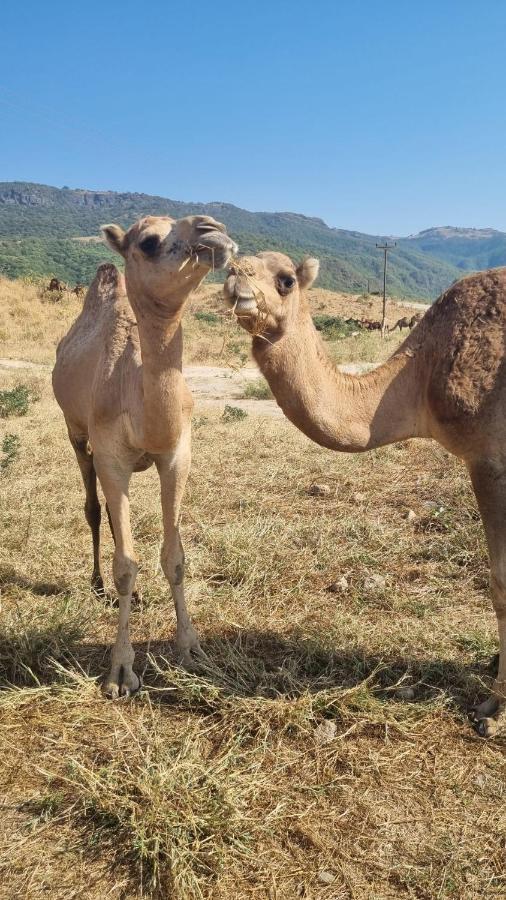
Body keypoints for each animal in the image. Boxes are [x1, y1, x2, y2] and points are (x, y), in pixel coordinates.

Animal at [52, 214, 238, 700]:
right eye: (150, 242)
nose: (213, 230)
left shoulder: (177, 454)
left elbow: (174, 557)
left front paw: (192, 650)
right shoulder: (111, 456)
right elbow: (125, 564)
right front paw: (120, 671)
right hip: (75, 433)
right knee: (93, 508)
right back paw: (97, 585)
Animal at [224, 253, 506, 740]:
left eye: (286, 280)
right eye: (228, 263)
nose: (235, 278)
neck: (421, 376)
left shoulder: (489, 457)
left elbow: (501, 582)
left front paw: (496, 708)